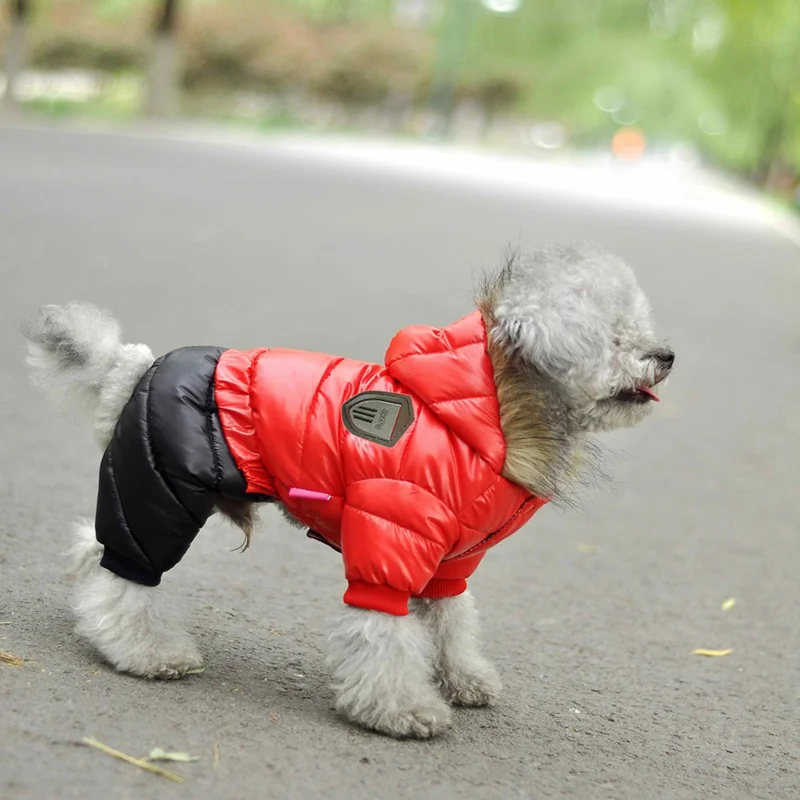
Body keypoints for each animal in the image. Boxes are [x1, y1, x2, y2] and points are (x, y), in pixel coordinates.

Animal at [21, 242, 672, 736]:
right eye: (614, 338)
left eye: (641, 326)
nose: (665, 354)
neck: (490, 414)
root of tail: (134, 367)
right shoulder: (391, 542)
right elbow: (384, 636)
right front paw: (400, 710)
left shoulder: (451, 561)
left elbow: (452, 622)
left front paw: (463, 679)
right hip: (165, 498)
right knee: (128, 579)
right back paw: (147, 653)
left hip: (144, 487)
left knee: (98, 549)